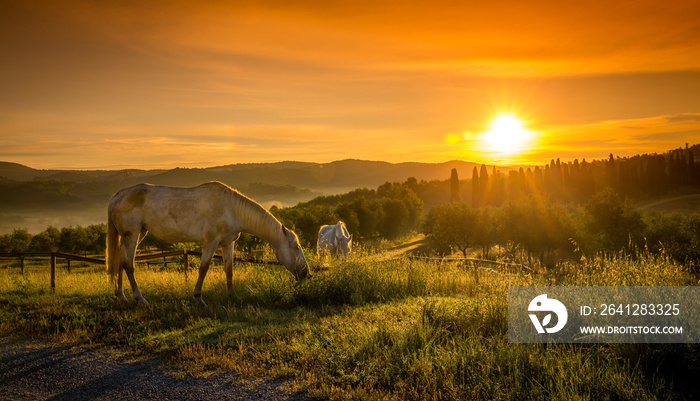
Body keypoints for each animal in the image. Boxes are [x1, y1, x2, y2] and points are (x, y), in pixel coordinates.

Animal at [106, 182, 308, 306]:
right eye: (295, 247)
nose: (307, 273)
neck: (231, 209)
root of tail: (116, 196)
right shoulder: (211, 242)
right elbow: (203, 268)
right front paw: (198, 299)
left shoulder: (227, 243)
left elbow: (229, 269)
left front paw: (233, 296)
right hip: (132, 234)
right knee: (128, 264)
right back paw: (140, 299)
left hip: (137, 234)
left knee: (120, 262)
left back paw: (122, 296)